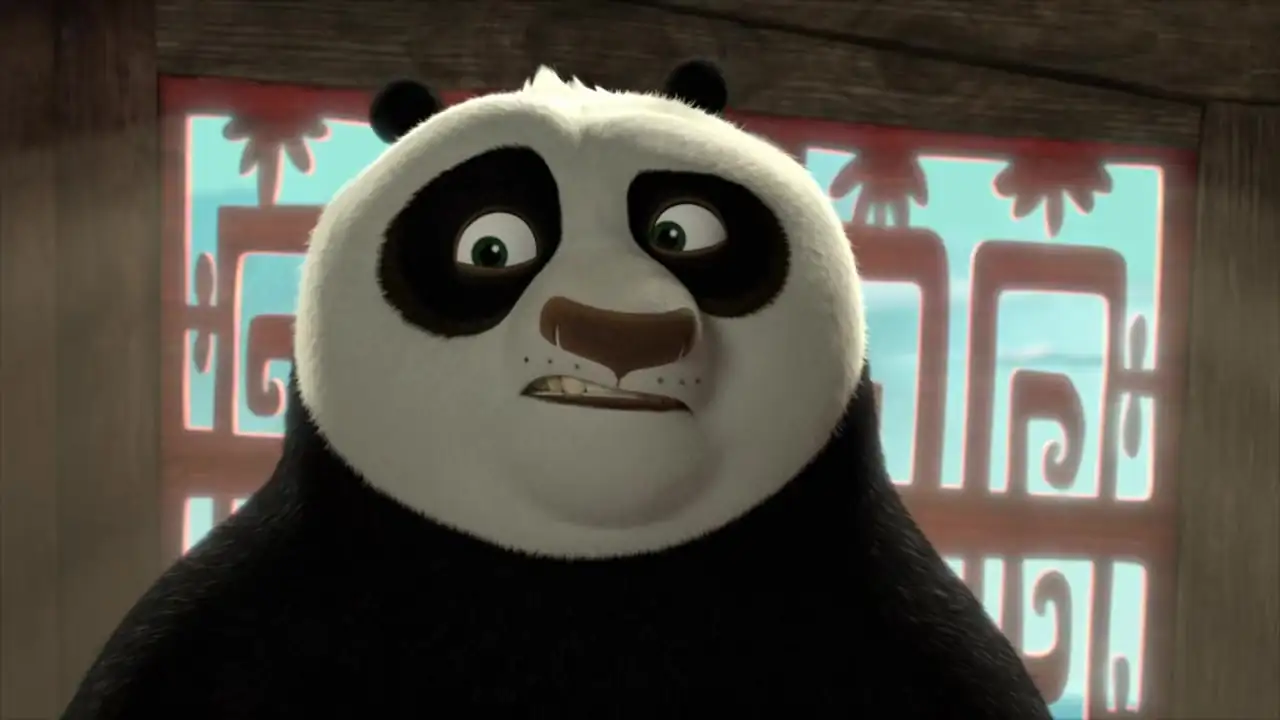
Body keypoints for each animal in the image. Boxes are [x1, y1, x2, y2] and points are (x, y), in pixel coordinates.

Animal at [63, 61, 1051, 719]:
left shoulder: (866, 597)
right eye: (491, 244)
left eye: (682, 230)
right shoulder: (275, 594)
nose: (617, 333)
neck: (582, 564)